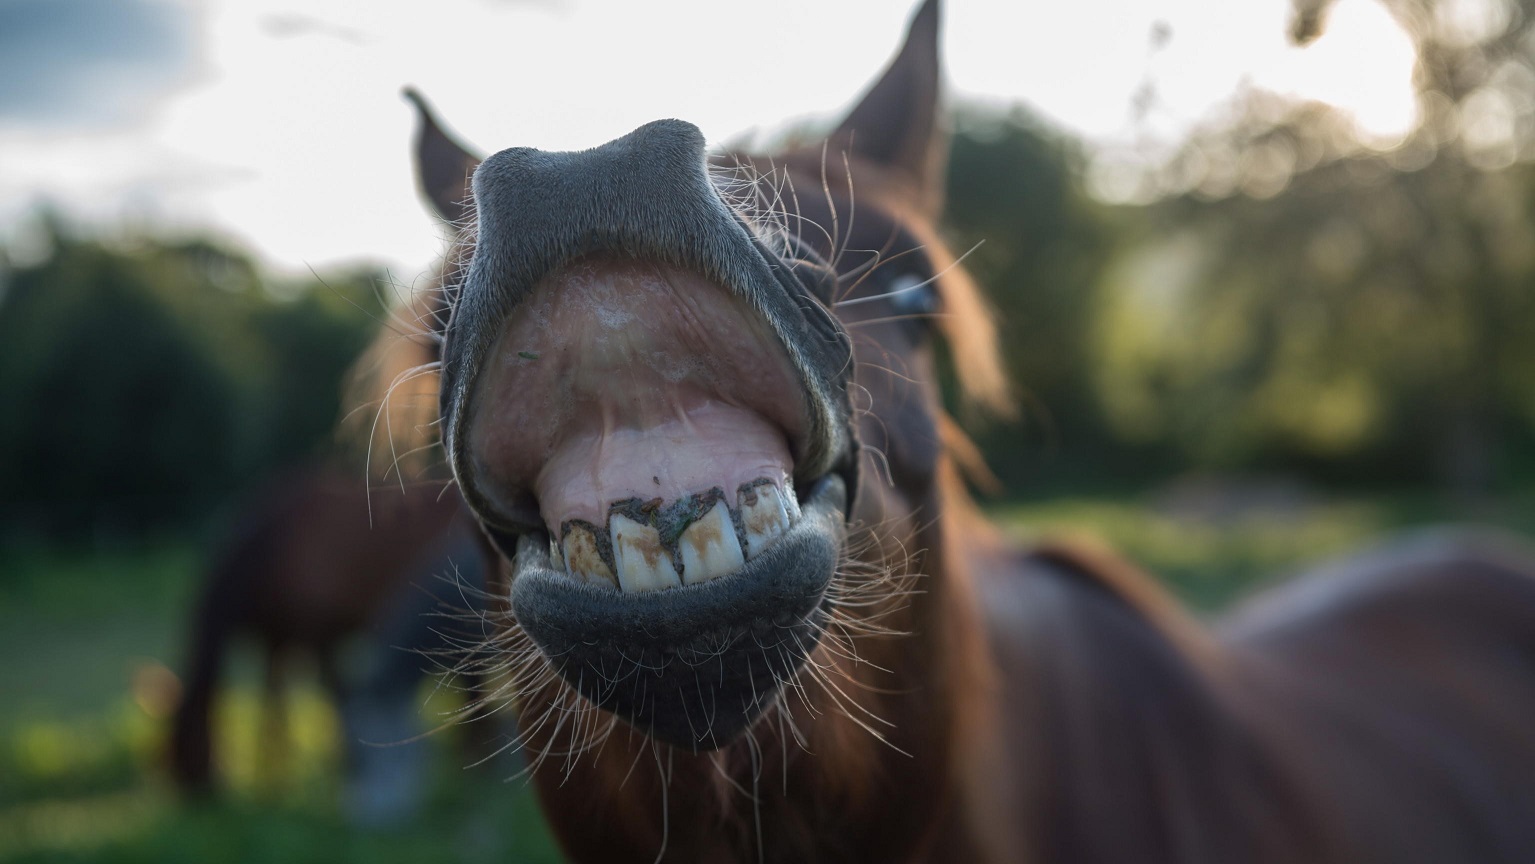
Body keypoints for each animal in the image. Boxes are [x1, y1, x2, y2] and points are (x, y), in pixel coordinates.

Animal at [168, 462, 496, 823]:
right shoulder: (277, 639)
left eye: (187, 742)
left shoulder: (319, 638)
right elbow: (273, 702)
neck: (271, 548)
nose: (196, 796)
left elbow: (332, 695)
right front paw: (274, 776)